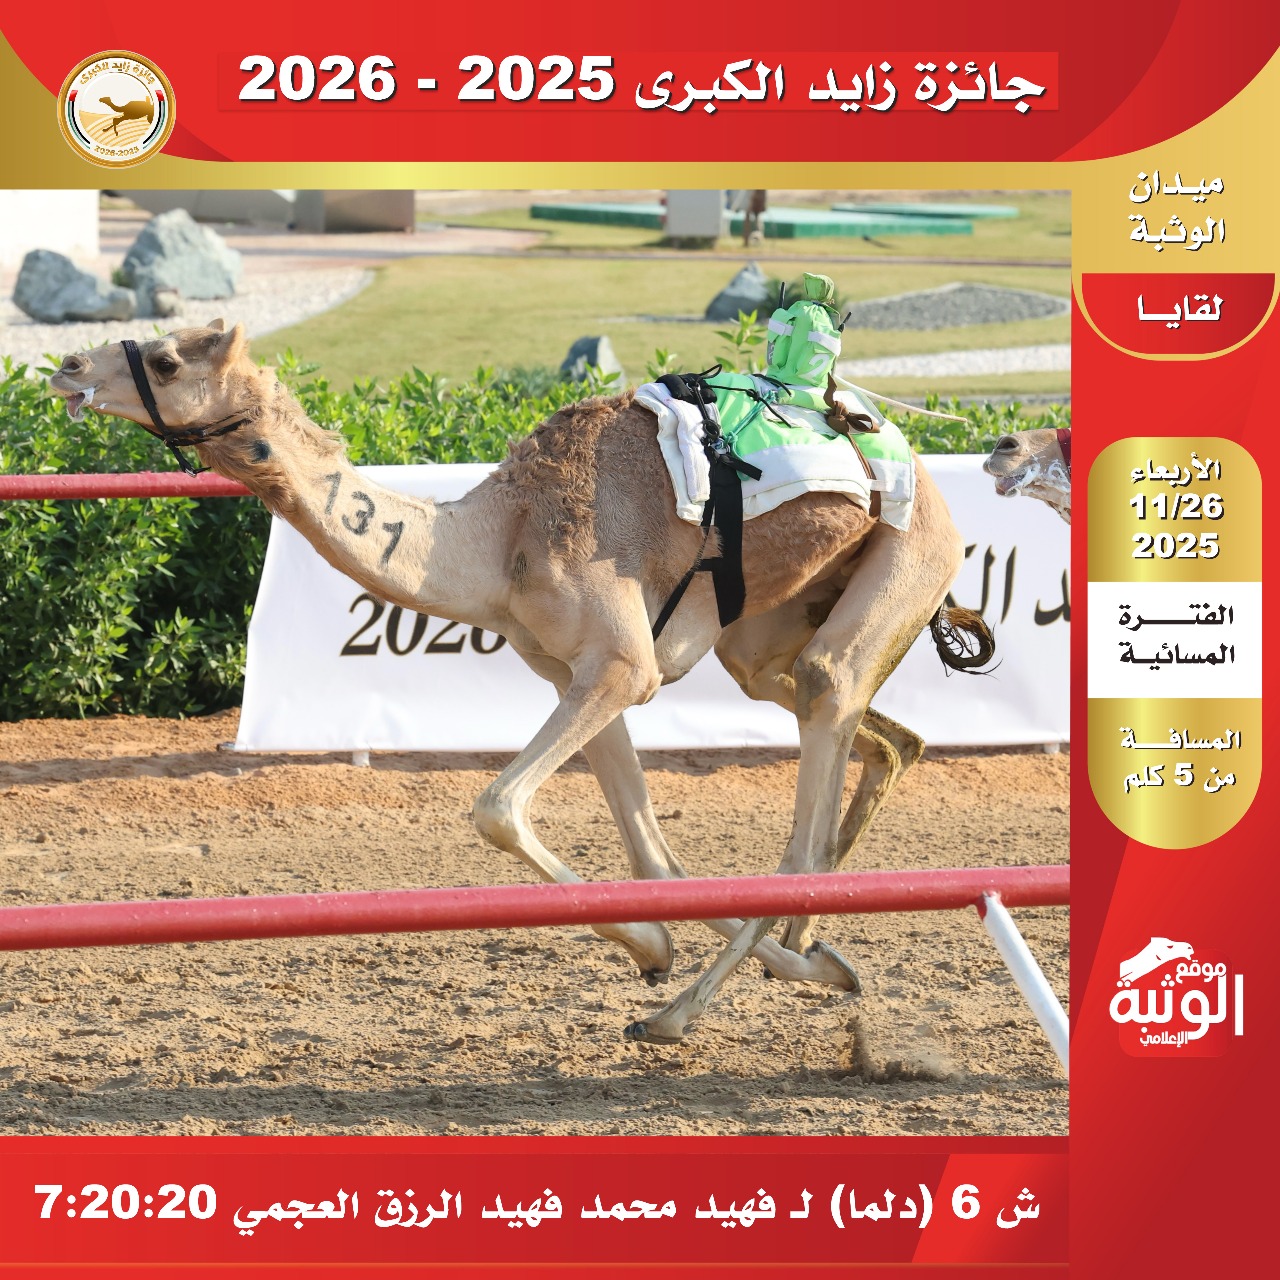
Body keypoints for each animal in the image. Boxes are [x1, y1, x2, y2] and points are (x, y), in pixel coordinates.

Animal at [49, 321, 994, 1044]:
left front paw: (661, 958)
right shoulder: (572, 670)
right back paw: (802, 941)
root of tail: (912, 455)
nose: (67, 368)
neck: (498, 539)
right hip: (766, 642)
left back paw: (687, 1011)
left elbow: (497, 808)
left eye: (168, 360)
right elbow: (651, 856)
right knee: (874, 732)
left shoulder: (621, 664)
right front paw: (731, 957)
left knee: (822, 740)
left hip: (908, 555)